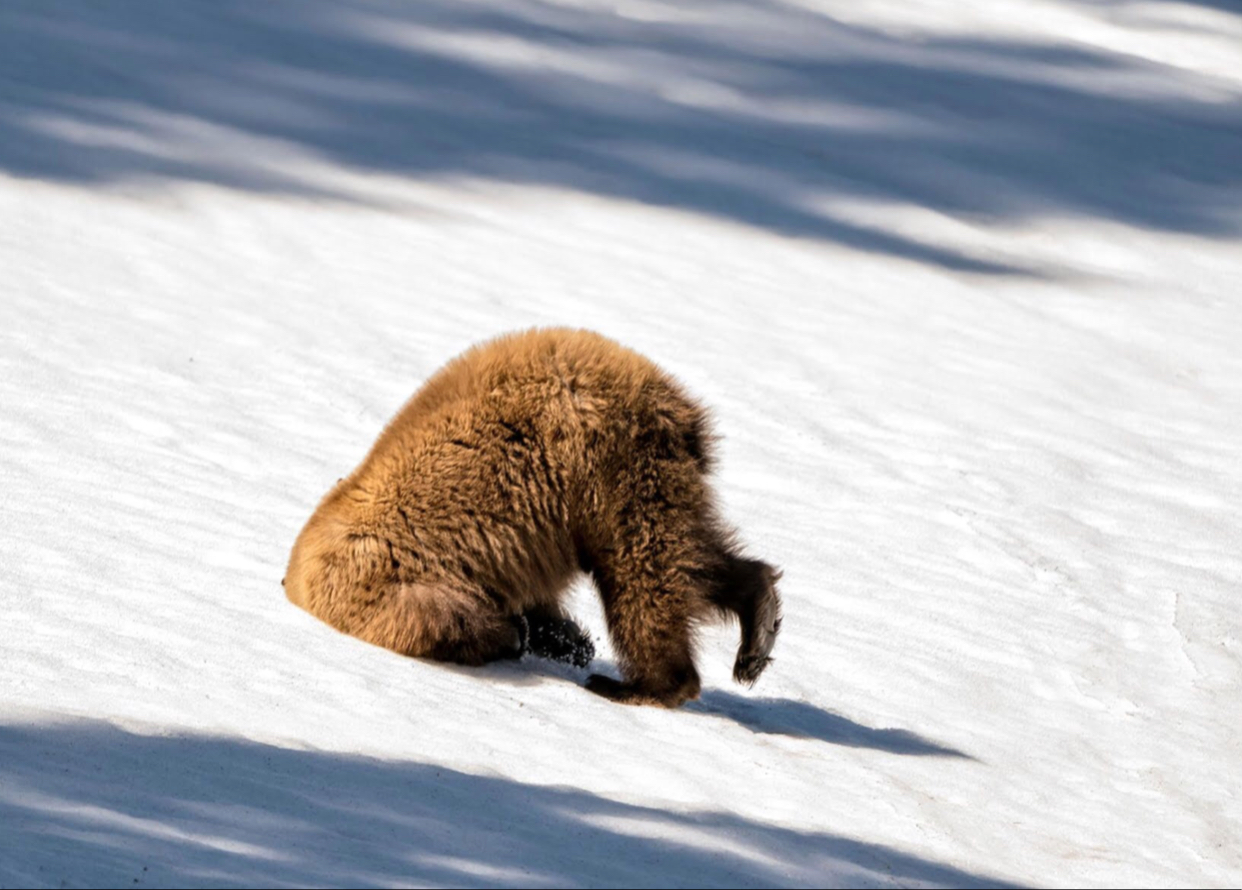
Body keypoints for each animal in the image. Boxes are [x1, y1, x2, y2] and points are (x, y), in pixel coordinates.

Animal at [284, 328, 782, 707]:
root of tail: (671, 403)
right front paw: (564, 639)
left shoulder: (388, 579)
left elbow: (443, 619)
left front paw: (521, 636)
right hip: (653, 478)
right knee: (691, 555)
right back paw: (757, 628)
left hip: (608, 472)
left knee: (642, 574)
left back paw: (640, 685)